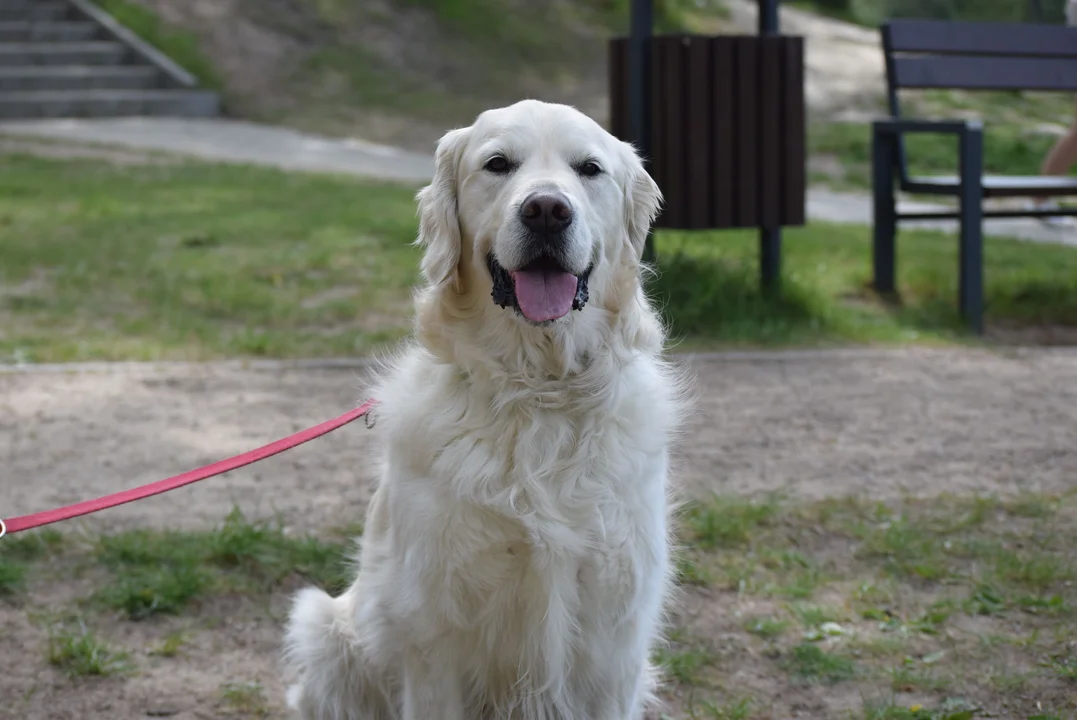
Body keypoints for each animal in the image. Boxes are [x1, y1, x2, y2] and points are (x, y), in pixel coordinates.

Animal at [286, 99, 684, 718]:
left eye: (589, 169)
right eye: (498, 164)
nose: (546, 210)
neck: (536, 390)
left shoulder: (615, 645)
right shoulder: (435, 638)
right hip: (324, 630)